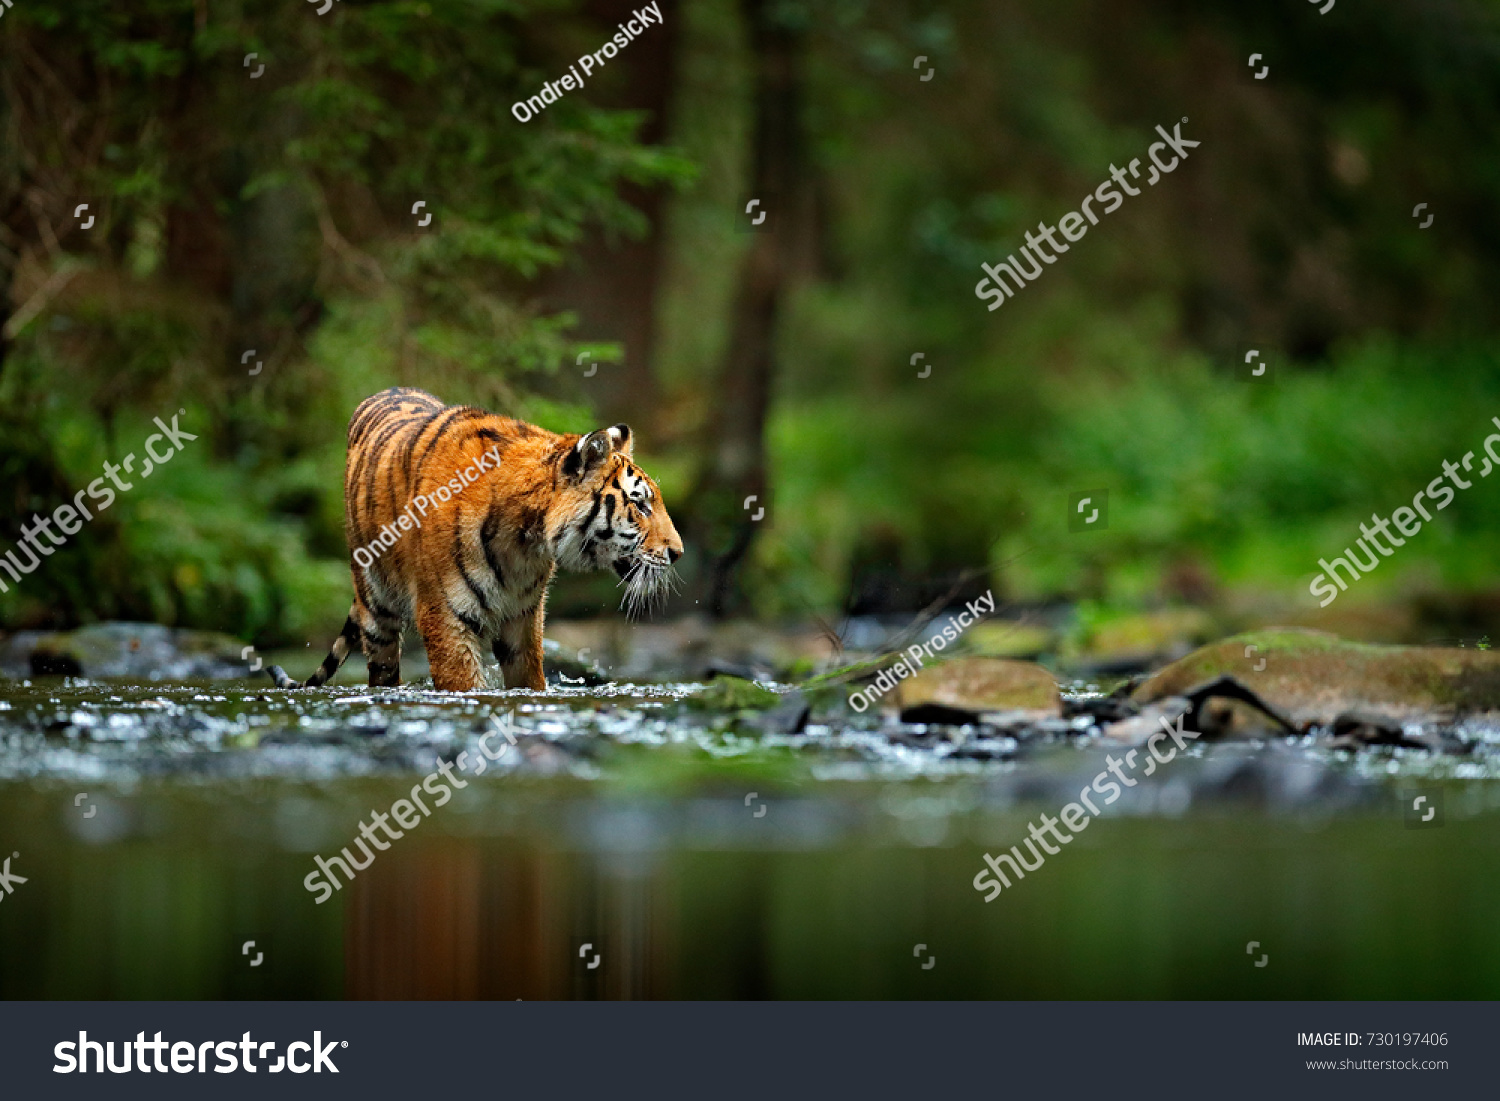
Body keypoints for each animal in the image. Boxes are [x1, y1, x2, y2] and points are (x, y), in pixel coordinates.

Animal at [265, 386, 682, 692]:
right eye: (640, 504)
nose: (678, 553)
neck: (525, 543)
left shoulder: (523, 618)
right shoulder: (444, 616)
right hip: (376, 608)